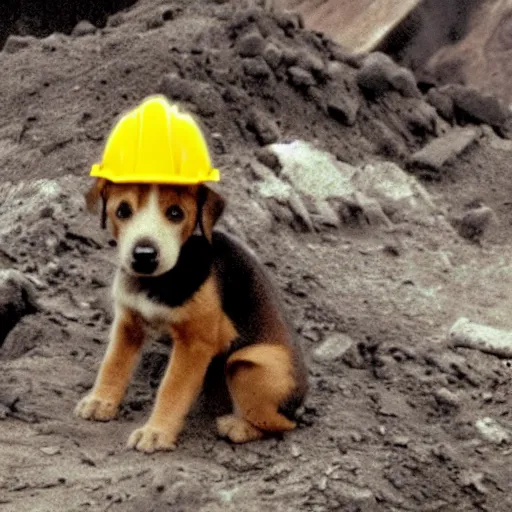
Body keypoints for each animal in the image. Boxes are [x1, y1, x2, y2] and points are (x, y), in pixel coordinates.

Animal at [76, 179, 308, 452]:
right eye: (122, 211)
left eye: (176, 213)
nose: (144, 255)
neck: (159, 280)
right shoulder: (128, 324)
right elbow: (113, 364)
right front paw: (100, 401)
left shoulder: (194, 344)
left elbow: (172, 389)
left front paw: (156, 433)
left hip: (248, 363)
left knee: (281, 424)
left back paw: (238, 426)